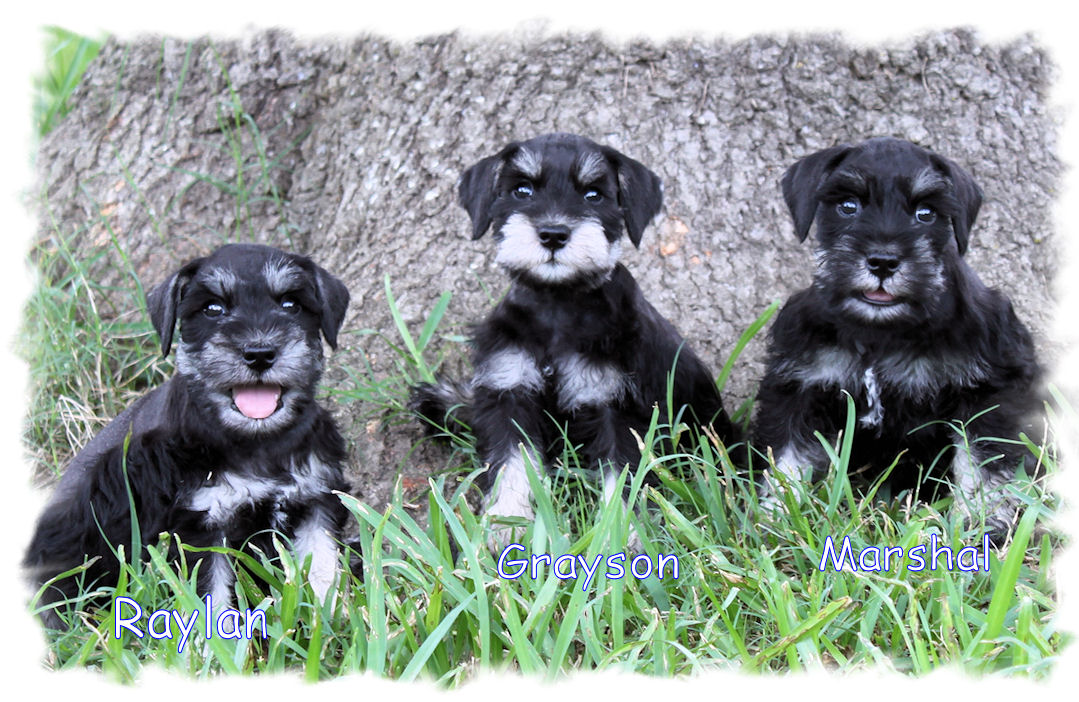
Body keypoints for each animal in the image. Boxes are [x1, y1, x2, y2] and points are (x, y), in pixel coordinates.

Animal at [23, 242, 349, 625]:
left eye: (291, 304)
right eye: (212, 308)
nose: (259, 353)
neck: (257, 440)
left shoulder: (316, 501)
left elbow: (324, 565)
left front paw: (333, 621)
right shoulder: (200, 526)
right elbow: (212, 597)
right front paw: (216, 640)